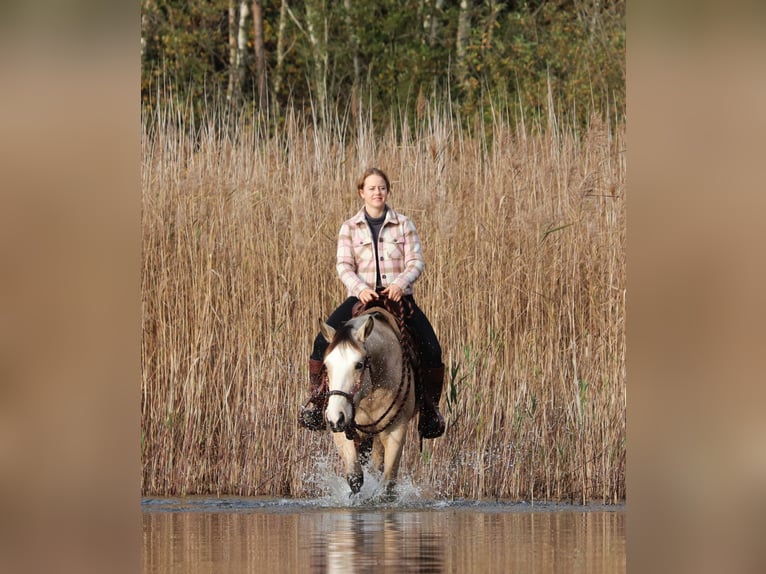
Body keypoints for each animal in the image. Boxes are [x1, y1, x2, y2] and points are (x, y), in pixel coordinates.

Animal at [319, 306, 417, 497]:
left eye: (358, 365)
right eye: (326, 365)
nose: (335, 417)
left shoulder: (396, 430)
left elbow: (387, 484)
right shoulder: (342, 431)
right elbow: (355, 478)